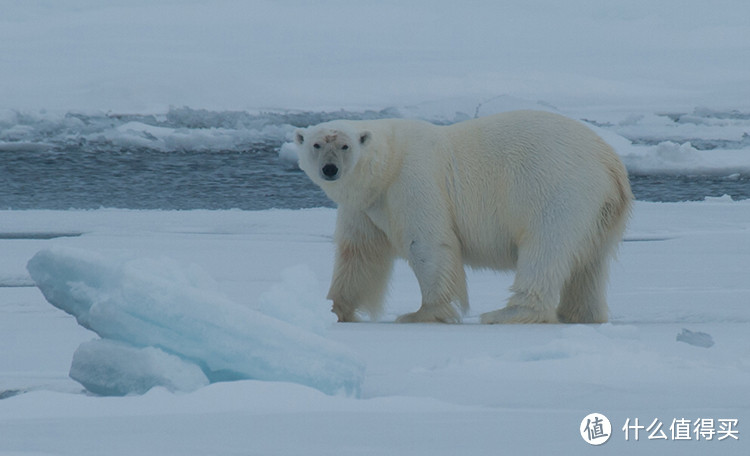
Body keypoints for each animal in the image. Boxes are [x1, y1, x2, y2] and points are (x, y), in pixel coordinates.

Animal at [296, 110, 636, 324]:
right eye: (316, 144)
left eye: (344, 145)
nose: (330, 169)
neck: (388, 164)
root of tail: (611, 164)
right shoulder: (365, 206)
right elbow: (358, 254)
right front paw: (332, 309)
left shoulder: (413, 181)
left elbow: (428, 243)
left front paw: (421, 313)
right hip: (601, 212)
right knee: (590, 263)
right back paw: (581, 314)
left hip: (558, 190)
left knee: (545, 249)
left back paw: (506, 314)